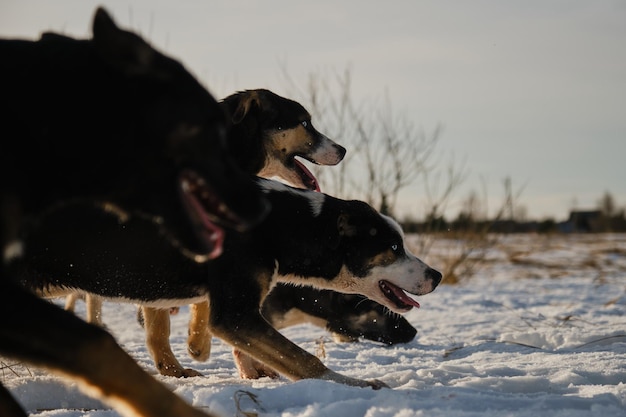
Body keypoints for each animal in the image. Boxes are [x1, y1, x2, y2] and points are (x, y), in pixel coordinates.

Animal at [13, 179, 438, 390]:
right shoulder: (234, 315)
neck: (277, 223)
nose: (436, 275)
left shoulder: (238, 315)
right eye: (394, 247)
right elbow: (305, 359)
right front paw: (355, 384)